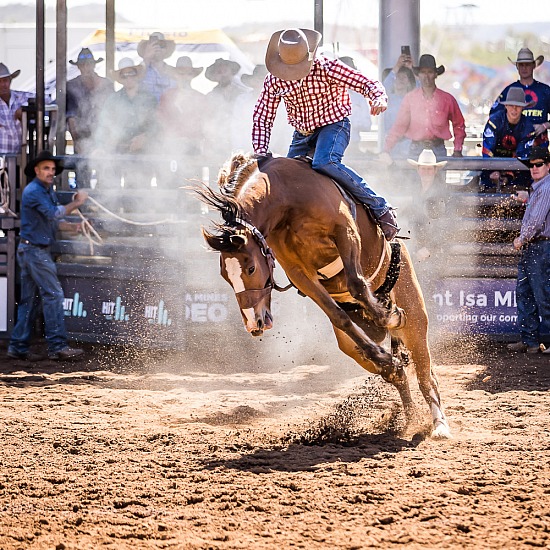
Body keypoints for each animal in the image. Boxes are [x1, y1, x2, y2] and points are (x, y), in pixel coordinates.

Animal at [196, 154, 450, 440]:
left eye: (250, 268)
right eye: (225, 276)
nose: (254, 322)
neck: (288, 199)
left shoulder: (345, 232)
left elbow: (357, 283)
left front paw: (390, 315)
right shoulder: (300, 274)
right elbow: (338, 315)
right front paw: (384, 356)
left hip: (415, 319)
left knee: (426, 376)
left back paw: (439, 425)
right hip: (351, 346)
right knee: (397, 374)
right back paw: (407, 411)